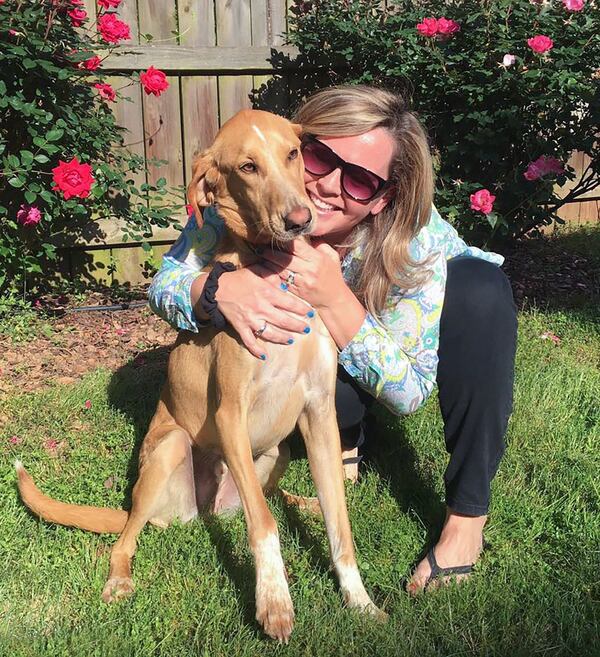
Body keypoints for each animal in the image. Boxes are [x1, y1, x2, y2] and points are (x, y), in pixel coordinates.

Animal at [18, 110, 386, 644]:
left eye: (294, 154)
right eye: (247, 167)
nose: (299, 219)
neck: (275, 270)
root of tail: (204, 510)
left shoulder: (319, 411)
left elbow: (340, 526)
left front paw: (360, 601)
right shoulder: (231, 410)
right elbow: (264, 526)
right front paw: (274, 603)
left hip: (278, 451)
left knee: (275, 495)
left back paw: (302, 500)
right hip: (171, 448)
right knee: (130, 538)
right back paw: (119, 578)